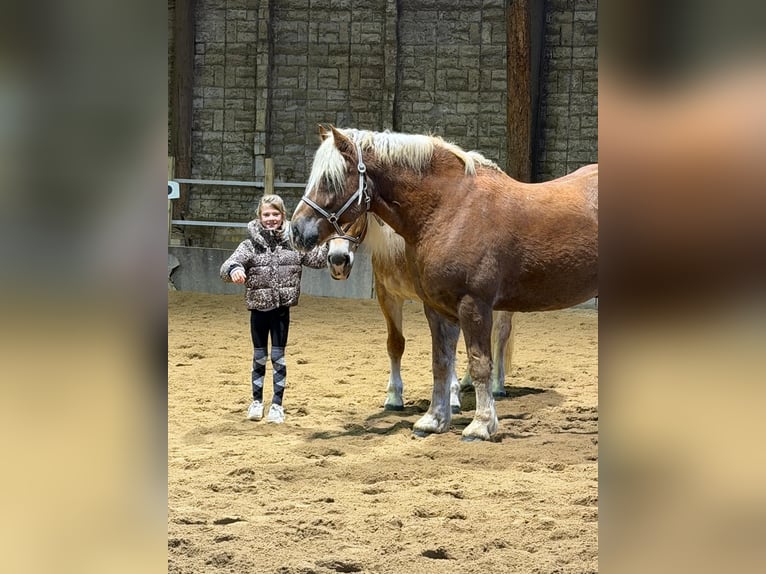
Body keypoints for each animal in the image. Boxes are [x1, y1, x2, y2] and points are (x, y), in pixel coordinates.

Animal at [326, 214, 516, 414]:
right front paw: (394, 398)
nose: (338, 261)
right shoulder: (387, 296)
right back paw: (468, 381)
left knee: (501, 334)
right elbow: (395, 344)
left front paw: (452, 399)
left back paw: (497, 386)